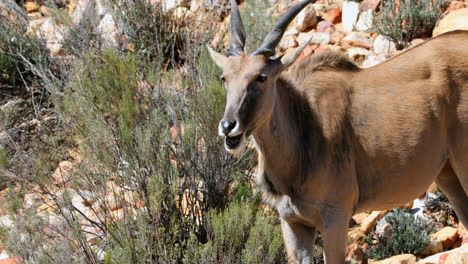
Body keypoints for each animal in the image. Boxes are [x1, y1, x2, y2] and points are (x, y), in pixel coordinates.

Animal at [207, 0, 468, 262]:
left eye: (261, 77)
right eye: (224, 78)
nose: (228, 126)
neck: (305, 123)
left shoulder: (336, 217)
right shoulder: (293, 222)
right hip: (447, 173)